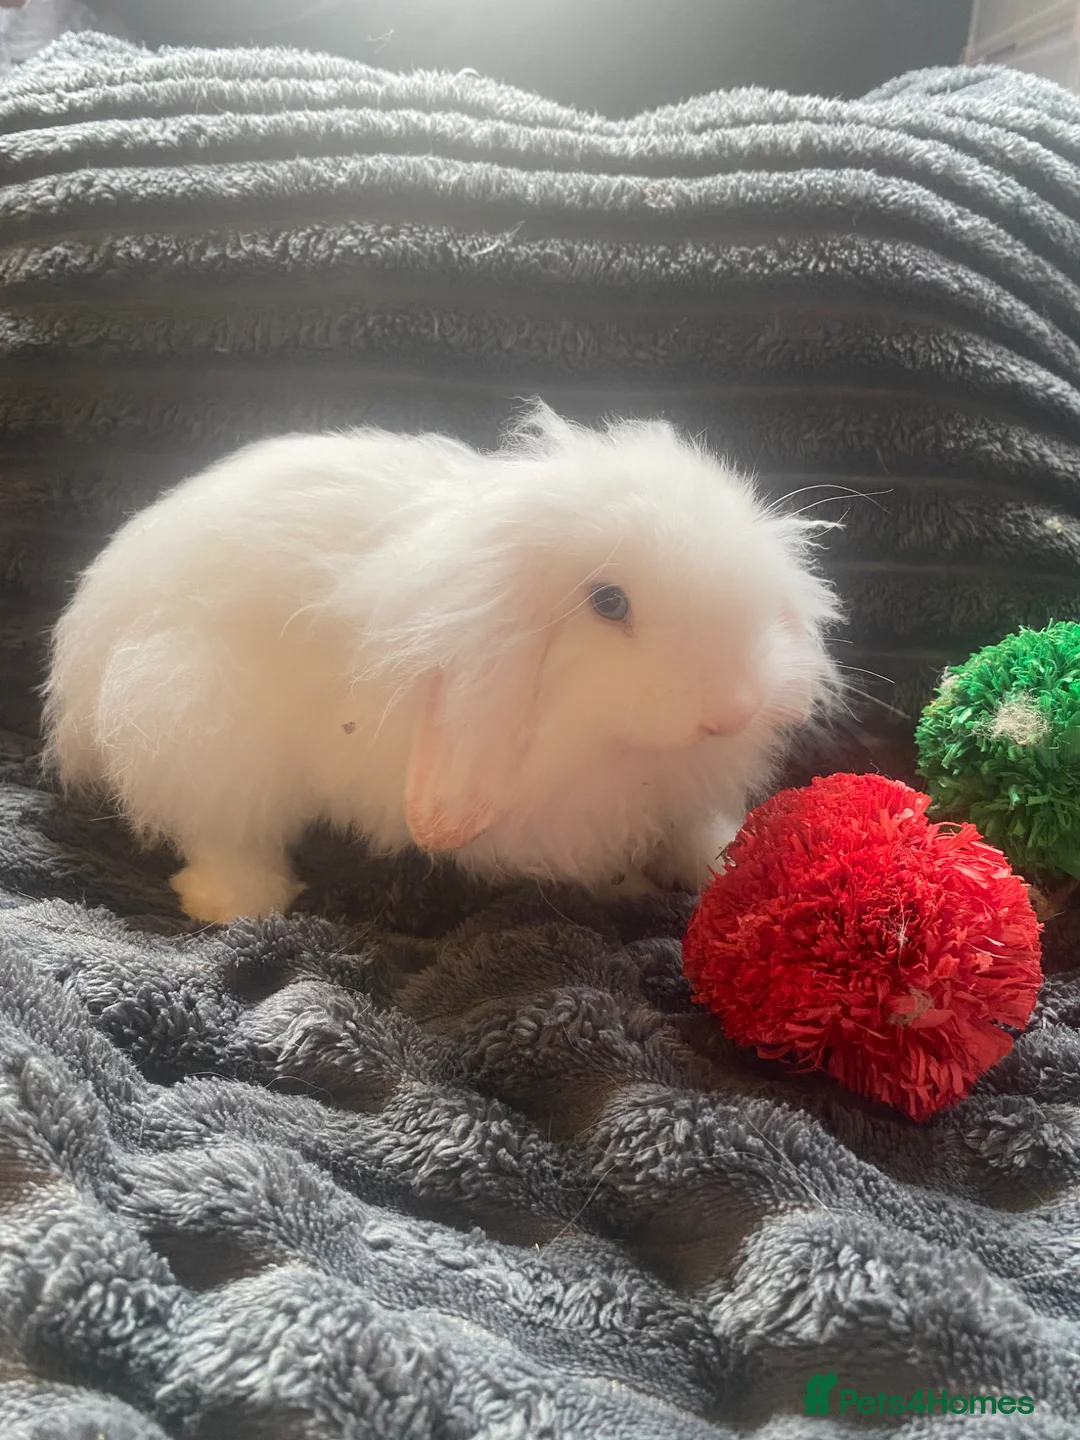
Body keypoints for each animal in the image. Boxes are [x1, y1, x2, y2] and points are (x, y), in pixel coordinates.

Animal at [43, 401, 841, 923]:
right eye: (609, 602)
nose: (734, 707)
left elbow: (696, 833)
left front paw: (719, 867)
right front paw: (630, 892)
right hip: (195, 721)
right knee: (221, 832)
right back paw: (237, 904)